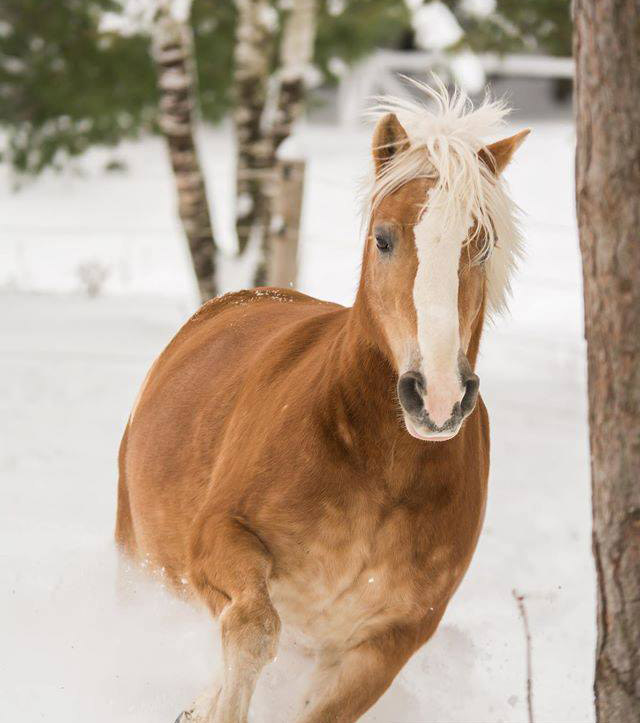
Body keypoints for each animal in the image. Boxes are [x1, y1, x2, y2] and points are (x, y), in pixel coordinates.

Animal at [116, 82, 528, 720]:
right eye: (383, 238)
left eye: (483, 246)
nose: (436, 397)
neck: (378, 471)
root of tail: (236, 299)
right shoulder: (216, 540)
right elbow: (253, 629)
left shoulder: (393, 637)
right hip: (140, 561)